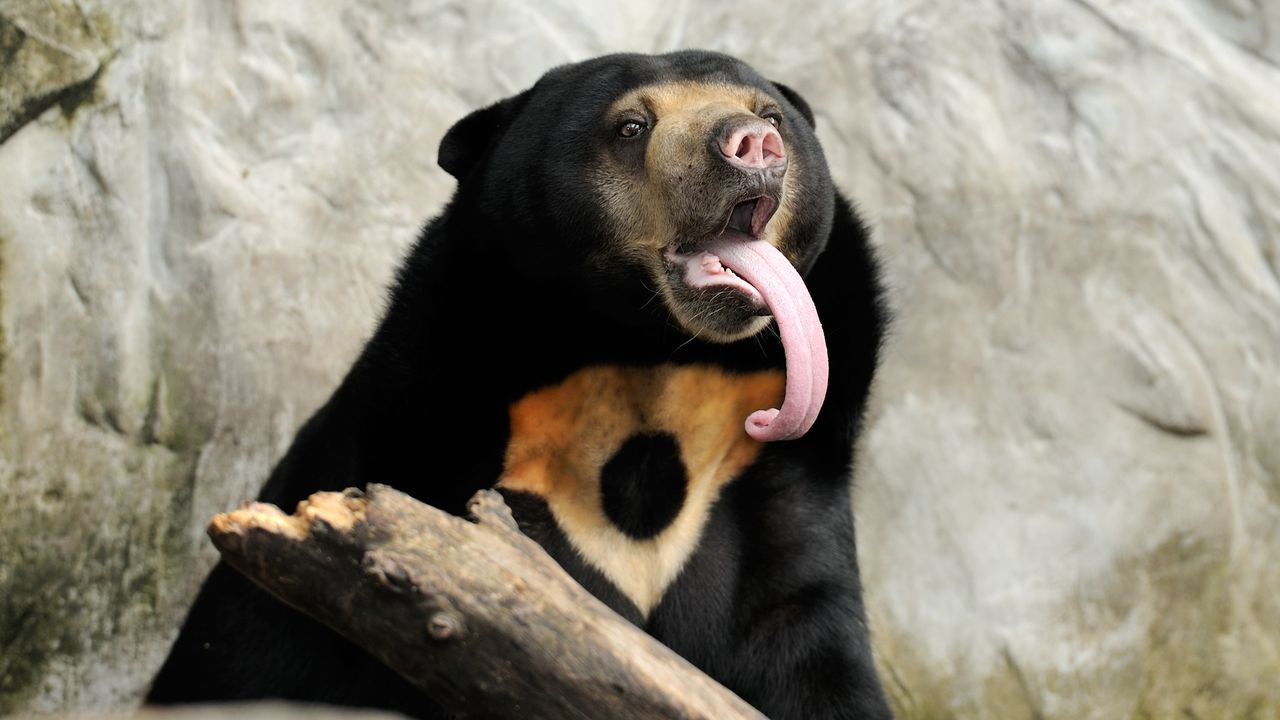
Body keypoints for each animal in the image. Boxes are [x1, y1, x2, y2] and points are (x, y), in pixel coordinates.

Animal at [147, 50, 893, 720]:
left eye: (771, 114)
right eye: (632, 126)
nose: (753, 144)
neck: (646, 357)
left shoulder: (770, 470)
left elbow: (808, 643)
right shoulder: (443, 430)